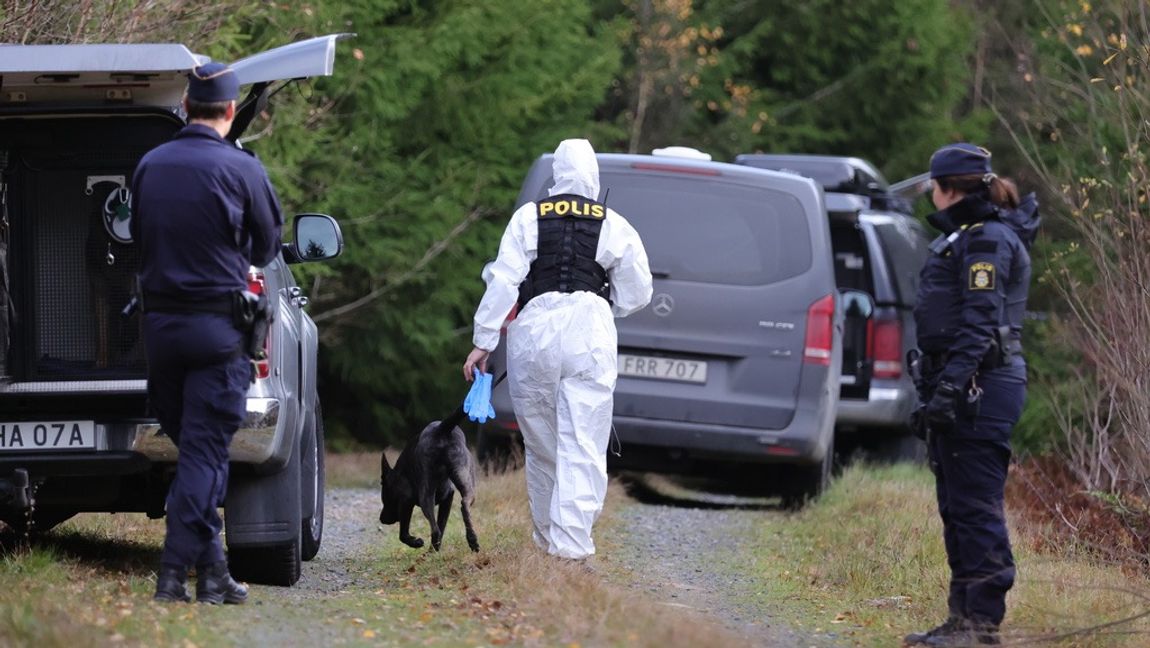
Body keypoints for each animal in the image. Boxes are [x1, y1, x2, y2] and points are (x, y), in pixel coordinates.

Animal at [379, 405, 478, 552]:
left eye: (384, 498)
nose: (382, 519)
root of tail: (441, 429)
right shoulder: (448, 497)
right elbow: (442, 526)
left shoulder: (406, 500)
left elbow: (403, 534)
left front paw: (416, 542)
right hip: (465, 479)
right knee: (462, 506)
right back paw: (472, 540)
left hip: (425, 495)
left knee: (435, 530)